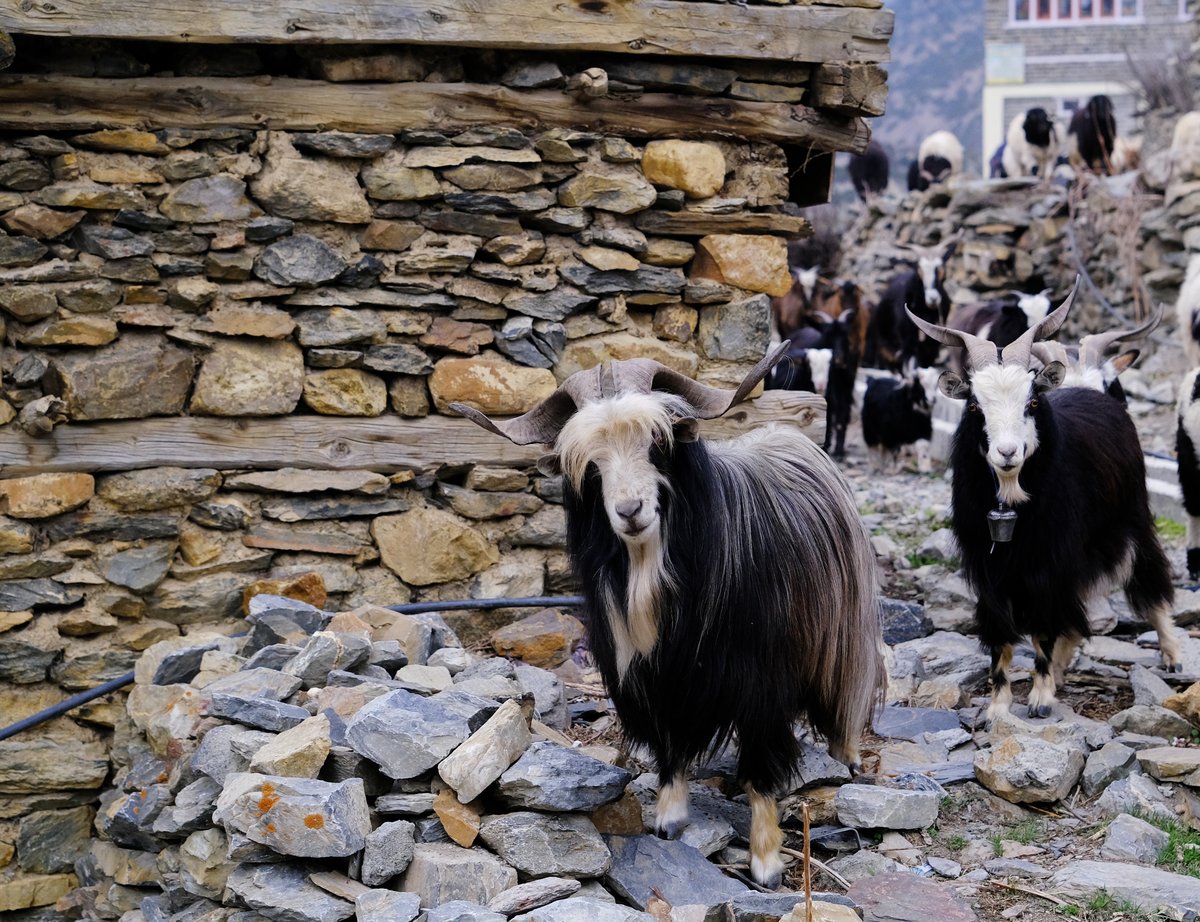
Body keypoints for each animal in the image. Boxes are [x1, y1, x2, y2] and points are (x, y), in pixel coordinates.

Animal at [451, 349, 883, 888]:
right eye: (590, 465)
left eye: (657, 443)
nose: (630, 510)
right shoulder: (656, 678)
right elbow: (670, 748)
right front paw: (668, 820)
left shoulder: (761, 683)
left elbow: (760, 769)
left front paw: (765, 863)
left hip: (845, 636)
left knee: (846, 699)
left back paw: (848, 761)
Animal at [906, 284, 1182, 724]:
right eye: (974, 406)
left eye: (1031, 403)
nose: (1007, 452)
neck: (1012, 501)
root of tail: (1087, 388)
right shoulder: (989, 566)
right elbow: (1001, 635)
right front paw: (999, 707)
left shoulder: (1049, 561)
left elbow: (1042, 629)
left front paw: (1039, 698)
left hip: (1131, 516)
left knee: (1148, 575)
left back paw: (1171, 654)